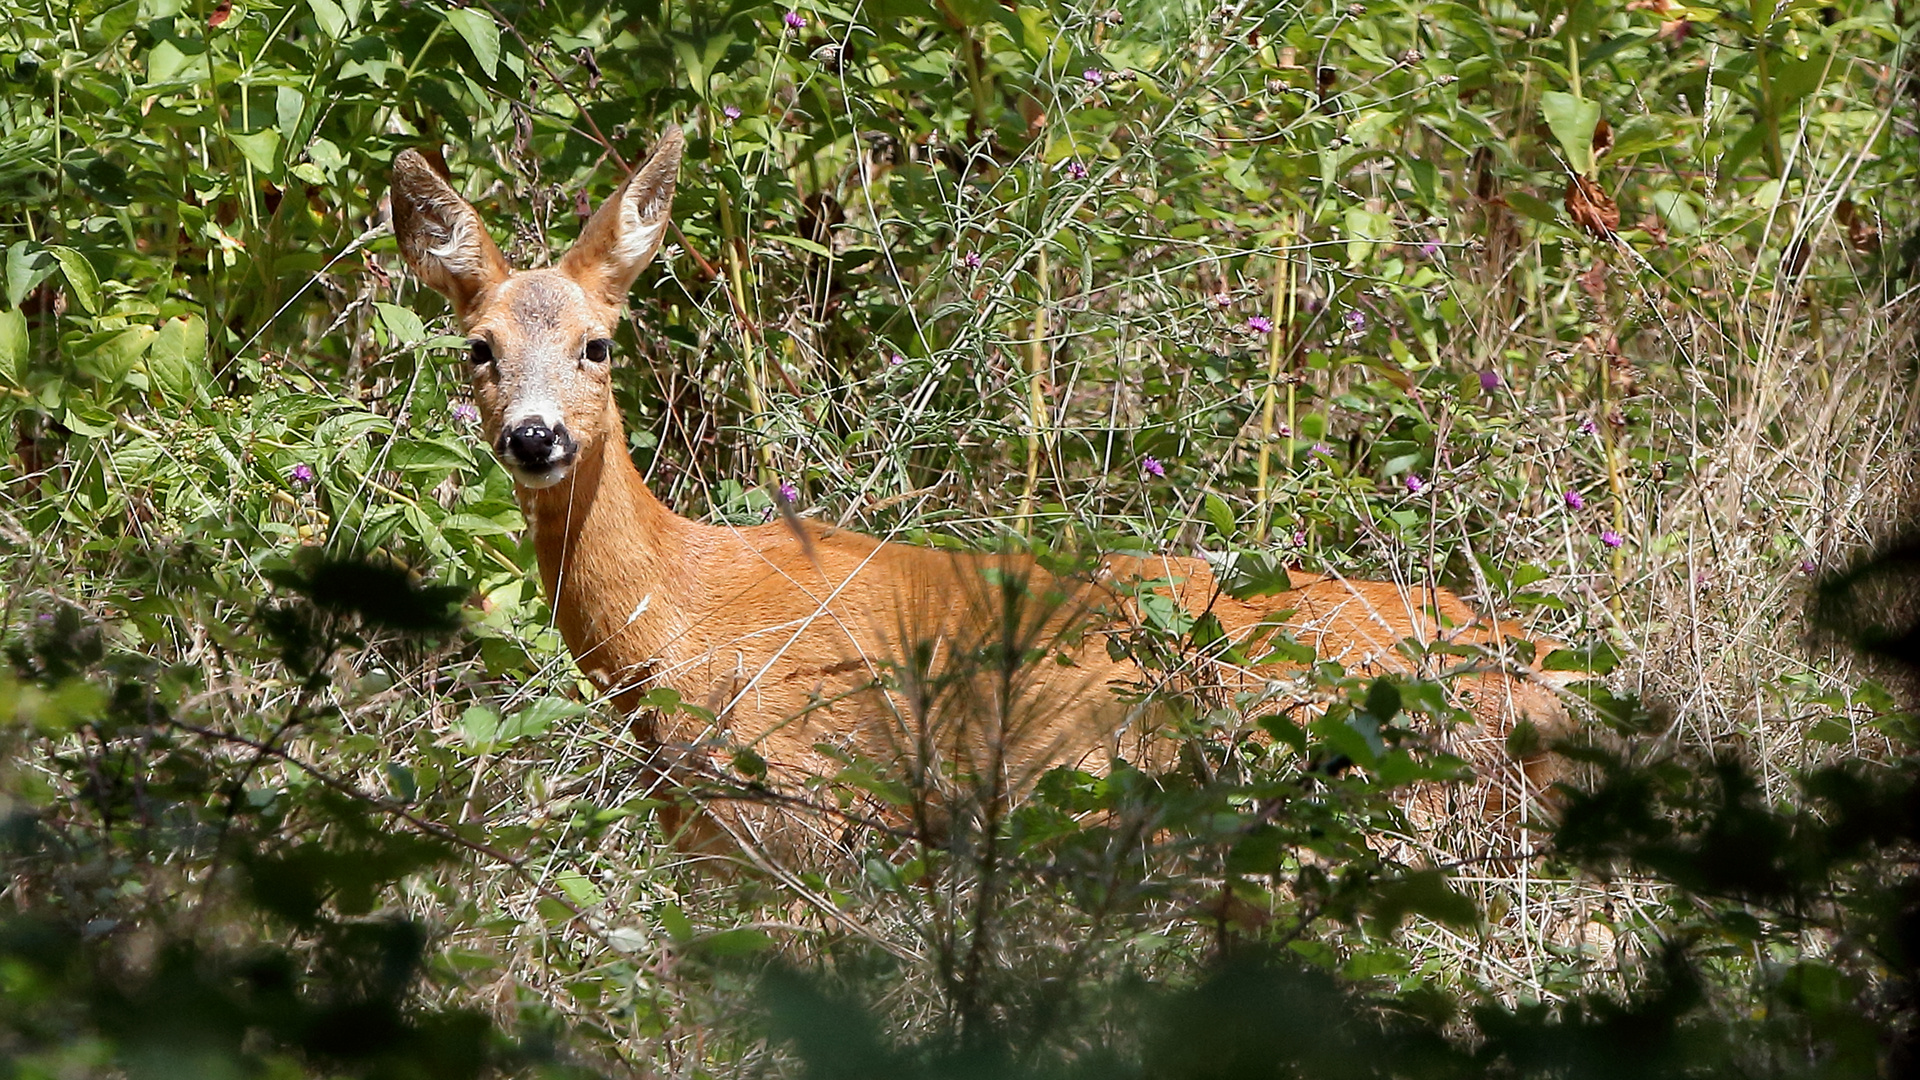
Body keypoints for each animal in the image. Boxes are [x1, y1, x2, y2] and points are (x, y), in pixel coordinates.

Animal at [389, 125, 1574, 857]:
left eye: (596, 344)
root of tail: (1556, 679)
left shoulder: (815, 808)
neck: (674, 619)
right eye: (478, 350)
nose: (535, 437)